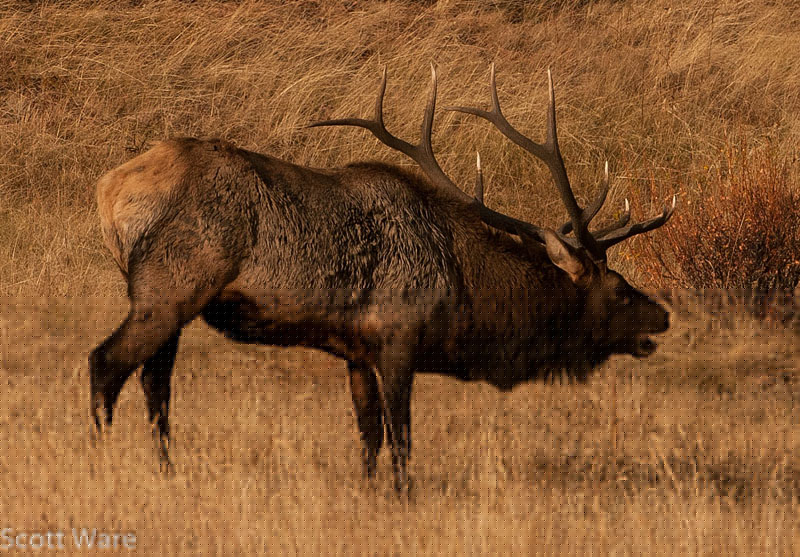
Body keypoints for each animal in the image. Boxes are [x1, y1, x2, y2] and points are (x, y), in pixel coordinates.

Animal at [89, 64, 675, 492]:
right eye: (621, 290)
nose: (665, 315)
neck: (466, 295)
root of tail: (109, 188)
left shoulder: (355, 349)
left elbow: (368, 434)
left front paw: (370, 493)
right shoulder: (399, 337)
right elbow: (401, 438)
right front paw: (402, 496)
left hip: (172, 301)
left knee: (155, 382)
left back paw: (166, 470)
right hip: (170, 283)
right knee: (106, 362)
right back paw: (102, 464)